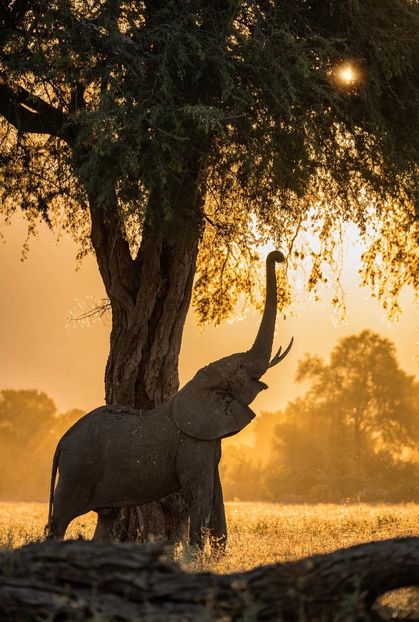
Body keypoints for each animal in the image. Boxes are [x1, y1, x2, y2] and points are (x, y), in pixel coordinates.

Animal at [46, 251, 294, 548]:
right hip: (77, 468)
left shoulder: (206, 441)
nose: (279, 256)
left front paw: (218, 553)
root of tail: (61, 443)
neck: (194, 389)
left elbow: (216, 494)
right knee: (60, 518)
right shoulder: (192, 443)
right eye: (239, 371)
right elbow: (200, 495)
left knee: (106, 518)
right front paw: (195, 554)